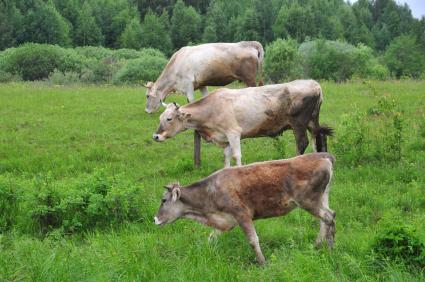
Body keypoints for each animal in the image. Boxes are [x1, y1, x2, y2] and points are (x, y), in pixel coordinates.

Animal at [152, 79, 332, 166]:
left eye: (169, 119)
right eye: (160, 118)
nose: (155, 136)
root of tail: (314, 84)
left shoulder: (234, 133)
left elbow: (236, 156)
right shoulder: (224, 138)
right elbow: (226, 158)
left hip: (298, 123)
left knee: (302, 142)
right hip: (311, 121)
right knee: (318, 137)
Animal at [154, 153, 336, 266]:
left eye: (163, 200)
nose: (155, 219)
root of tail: (322, 155)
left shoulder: (241, 214)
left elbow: (253, 240)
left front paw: (263, 263)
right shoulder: (226, 220)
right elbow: (211, 238)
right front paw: (203, 252)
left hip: (308, 201)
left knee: (328, 217)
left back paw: (330, 246)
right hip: (321, 198)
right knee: (327, 217)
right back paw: (318, 245)